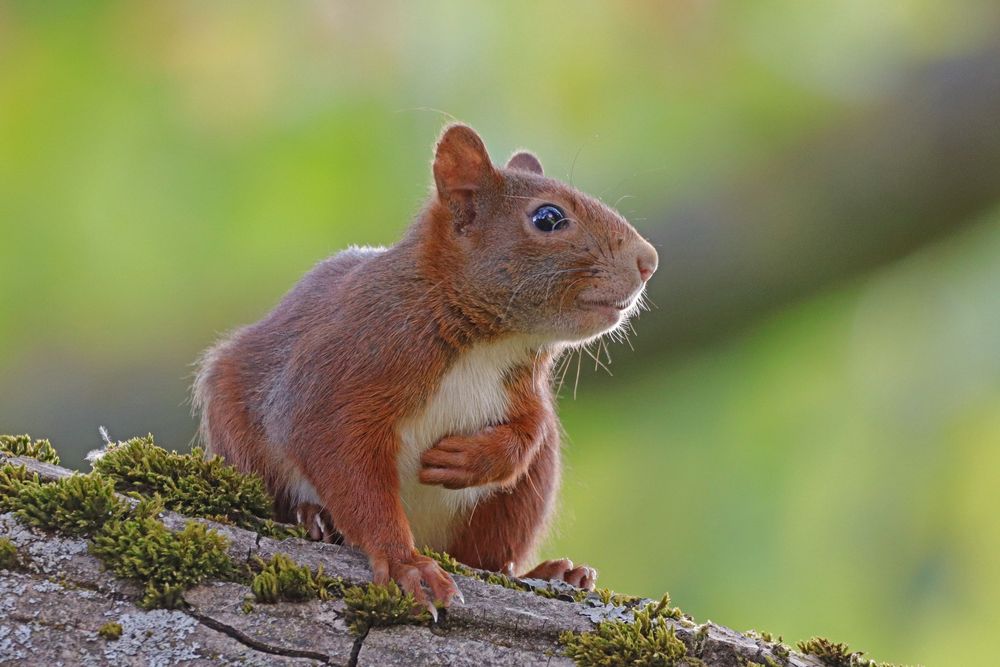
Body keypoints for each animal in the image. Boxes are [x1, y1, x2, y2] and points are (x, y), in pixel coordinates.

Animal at [193, 124, 656, 612]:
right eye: (548, 218)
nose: (649, 261)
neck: (488, 344)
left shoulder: (524, 389)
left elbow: (530, 430)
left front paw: (471, 460)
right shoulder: (345, 363)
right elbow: (340, 456)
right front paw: (405, 563)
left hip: (521, 497)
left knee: (489, 555)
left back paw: (554, 573)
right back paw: (312, 517)